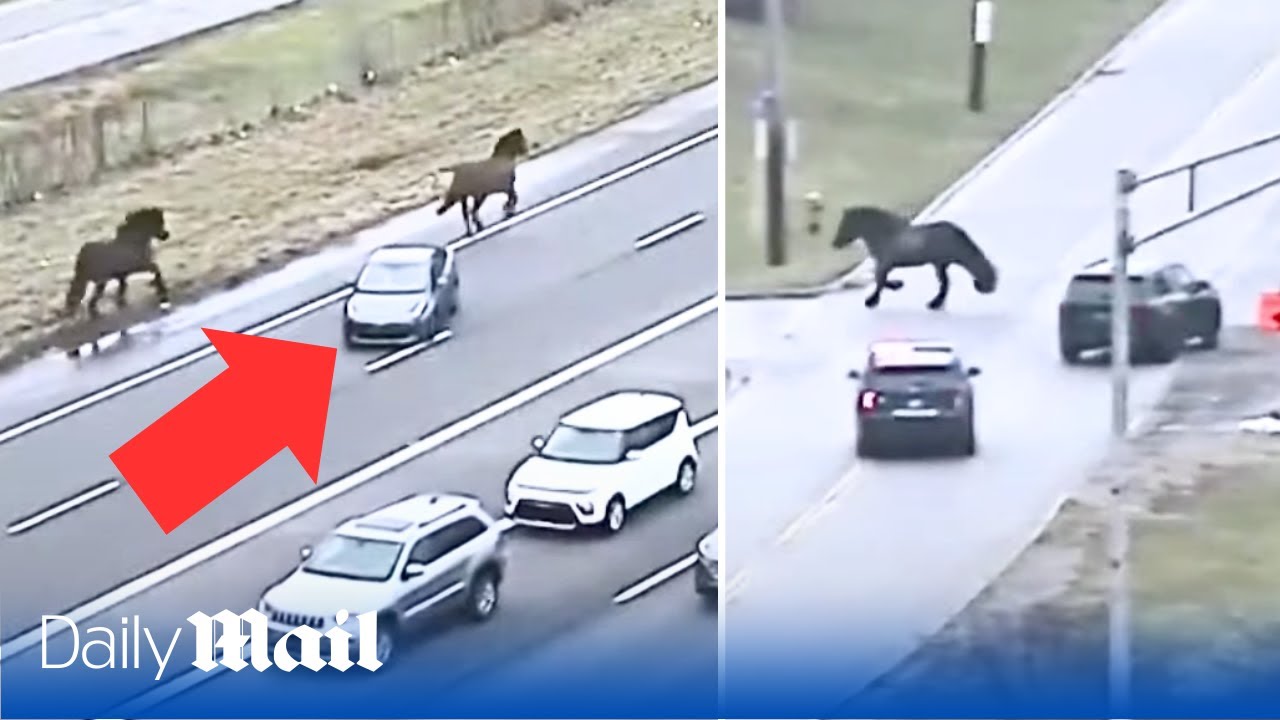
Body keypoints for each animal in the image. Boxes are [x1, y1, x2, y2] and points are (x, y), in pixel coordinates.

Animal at [829, 204, 998, 311]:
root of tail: (958, 233)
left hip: (941, 263)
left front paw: (871, 301)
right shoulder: (885, 265)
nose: (835, 244)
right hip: (940, 264)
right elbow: (882, 281)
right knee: (945, 284)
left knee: (946, 284)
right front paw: (897, 285)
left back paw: (934, 304)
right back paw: (935, 304)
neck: (884, 235)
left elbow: (880, 282)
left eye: (844, 224)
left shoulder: (884, 264)